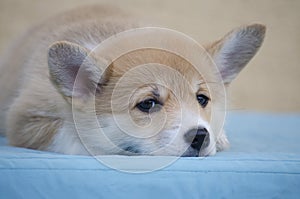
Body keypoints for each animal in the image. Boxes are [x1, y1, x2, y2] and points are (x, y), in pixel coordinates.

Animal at [0, 5, 264, 156]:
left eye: (202, 99)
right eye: (147, 104)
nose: (201, 137)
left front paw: (219, 137)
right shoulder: (24, 120)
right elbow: (76, 139)